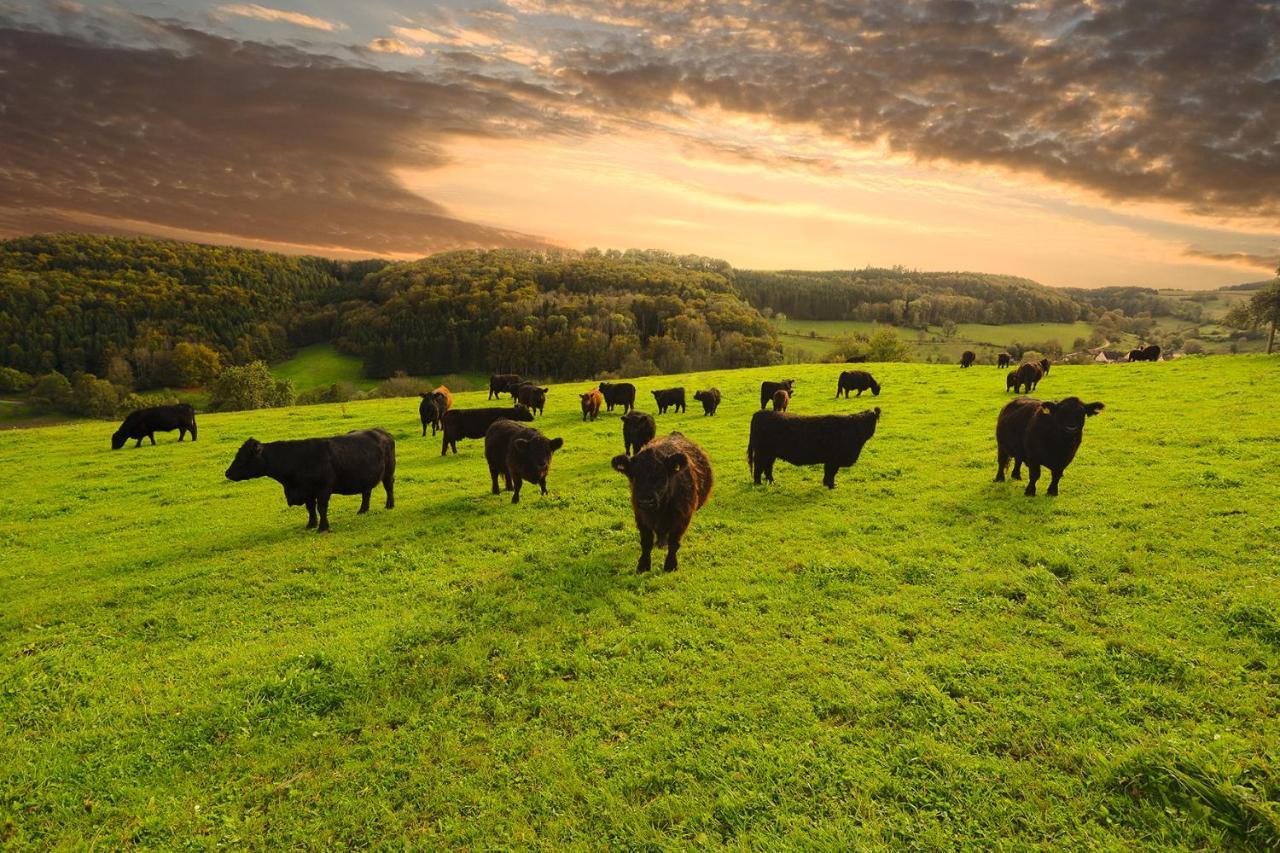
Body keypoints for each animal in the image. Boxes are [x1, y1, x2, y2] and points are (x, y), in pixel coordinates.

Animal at [225, 425, 391, 532]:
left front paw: (323, 527)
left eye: (243, 457)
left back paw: (389, 506)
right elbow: (310, 508)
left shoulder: (323, 489)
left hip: (389, 471)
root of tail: (380, 430)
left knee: (389, 487)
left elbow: (321, 508)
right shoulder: (307, 492)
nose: (227, 473)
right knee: (366, 493)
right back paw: (363, 510)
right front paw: (311, 524)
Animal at [609, 432, 711, 571]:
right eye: (634, 475)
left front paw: (670, 565)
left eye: (661, 475)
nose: (646, 501)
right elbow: (646, 542)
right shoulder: (640, 516)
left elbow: (674, 543)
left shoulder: (683, 517)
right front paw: (643, 565)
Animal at [747, 409, 880, 489]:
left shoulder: (830, 461)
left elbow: (828, 473)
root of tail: (760, 412)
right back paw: (758, 484)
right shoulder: (834, 460)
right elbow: (831, 473)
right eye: (860, 423)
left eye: (868, 422)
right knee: (759, 468)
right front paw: (831, 486)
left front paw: (827, 484)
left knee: (767, 468)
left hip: (770, 454)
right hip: (762, 453)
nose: (862, 431)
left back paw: (772, 482)